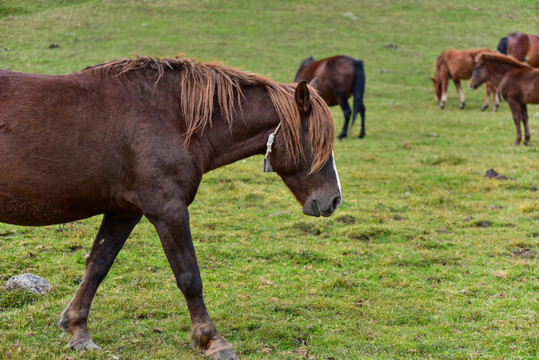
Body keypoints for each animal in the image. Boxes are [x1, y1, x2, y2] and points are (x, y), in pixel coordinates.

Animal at [0, 54, 344, 358]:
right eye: (317, 141)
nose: (334, 199)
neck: (175, 118)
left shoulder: (124, 212)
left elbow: (97, 266)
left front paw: (78, 330)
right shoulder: (168, 210)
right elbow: (189, 276)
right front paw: (212, 340)